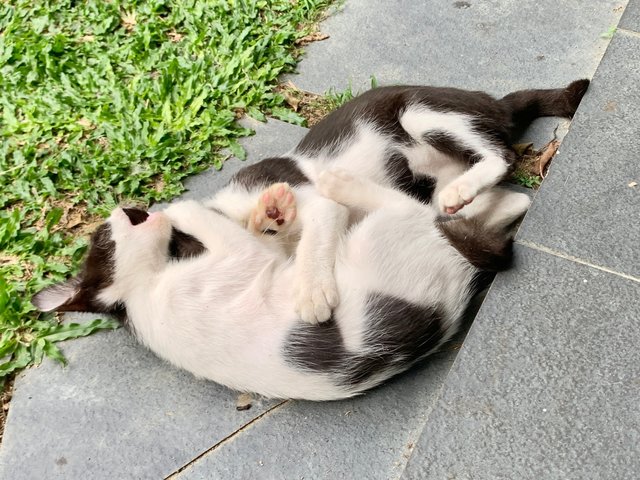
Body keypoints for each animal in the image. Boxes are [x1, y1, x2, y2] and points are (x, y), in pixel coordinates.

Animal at [32, 80, 588, 400]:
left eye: (100, 235)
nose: (132, 210)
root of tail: (492, 103)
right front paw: (275, 231)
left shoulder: (309, 206)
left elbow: (310, 232)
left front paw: (310, 286)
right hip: (432, 197)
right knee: (489, 201)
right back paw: (457, 198)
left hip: (422, 112)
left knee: (499, 157)